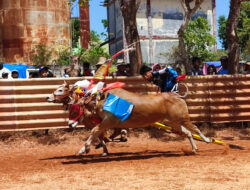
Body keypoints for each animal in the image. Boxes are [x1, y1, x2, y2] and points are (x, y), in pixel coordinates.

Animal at [78, 88, 211, 155]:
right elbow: (99, 134)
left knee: (195, 129)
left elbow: (95, 131)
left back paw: (208, 140)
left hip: (182, 118)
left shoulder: (109, 121)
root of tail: (178, 96)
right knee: (188, 132)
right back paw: (194, 149)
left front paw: (84, 149)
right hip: (172, 122)